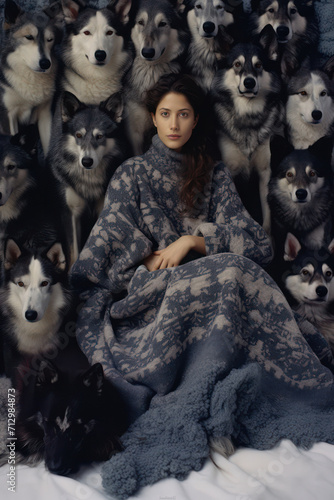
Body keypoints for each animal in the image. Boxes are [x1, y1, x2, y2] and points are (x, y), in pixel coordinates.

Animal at [46, 90, 126, 264]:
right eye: (79, 135)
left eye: (100, 136)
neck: (89, 179)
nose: (87, 161)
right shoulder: (70, 214)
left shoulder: (101, 211)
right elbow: (73, 252)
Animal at [211, 25, 282, 230]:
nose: (249, 82)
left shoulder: (265, 173)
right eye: (237, 64)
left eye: (258, 65)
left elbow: (267, 221)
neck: (247, 115)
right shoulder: (231, 173)